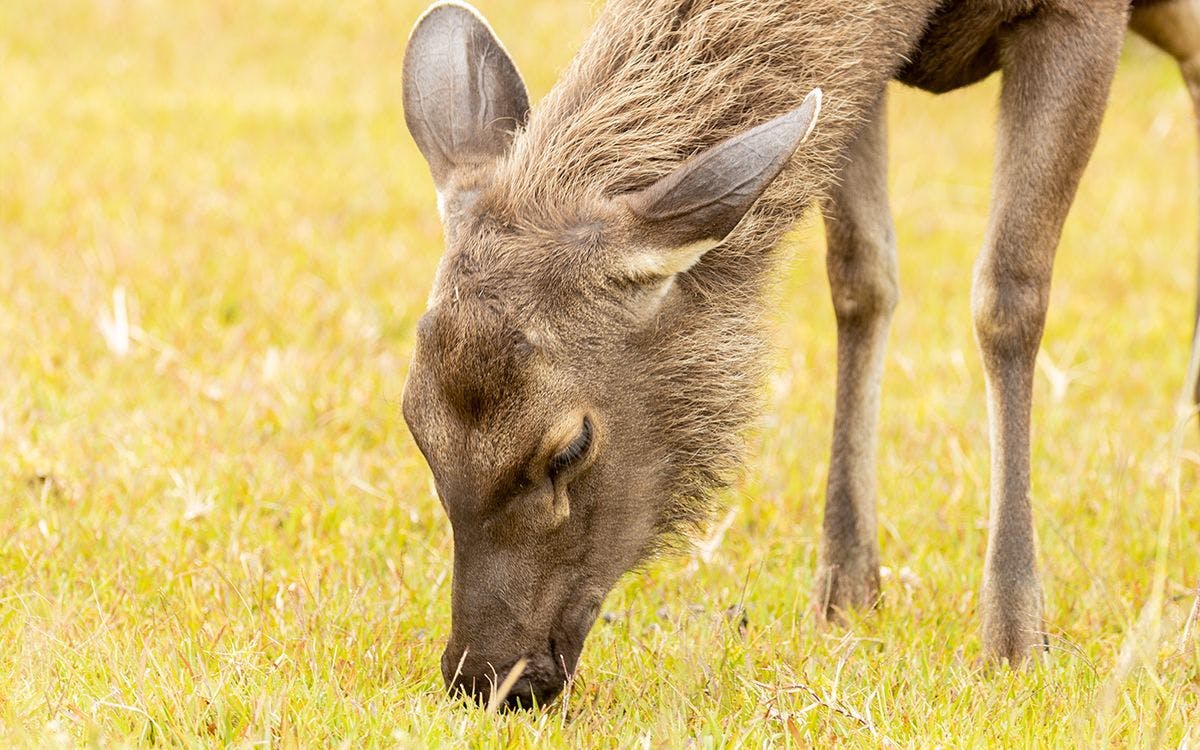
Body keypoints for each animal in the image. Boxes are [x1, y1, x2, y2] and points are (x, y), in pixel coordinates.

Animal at [396, 0, 1200, 705]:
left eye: (570, 446)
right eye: (415, 423)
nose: (483, 675)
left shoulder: (1082, 14)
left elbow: (1008, 295)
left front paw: (1015, 639)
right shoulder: (859, 74)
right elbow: (860, 275)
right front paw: (845, 589)